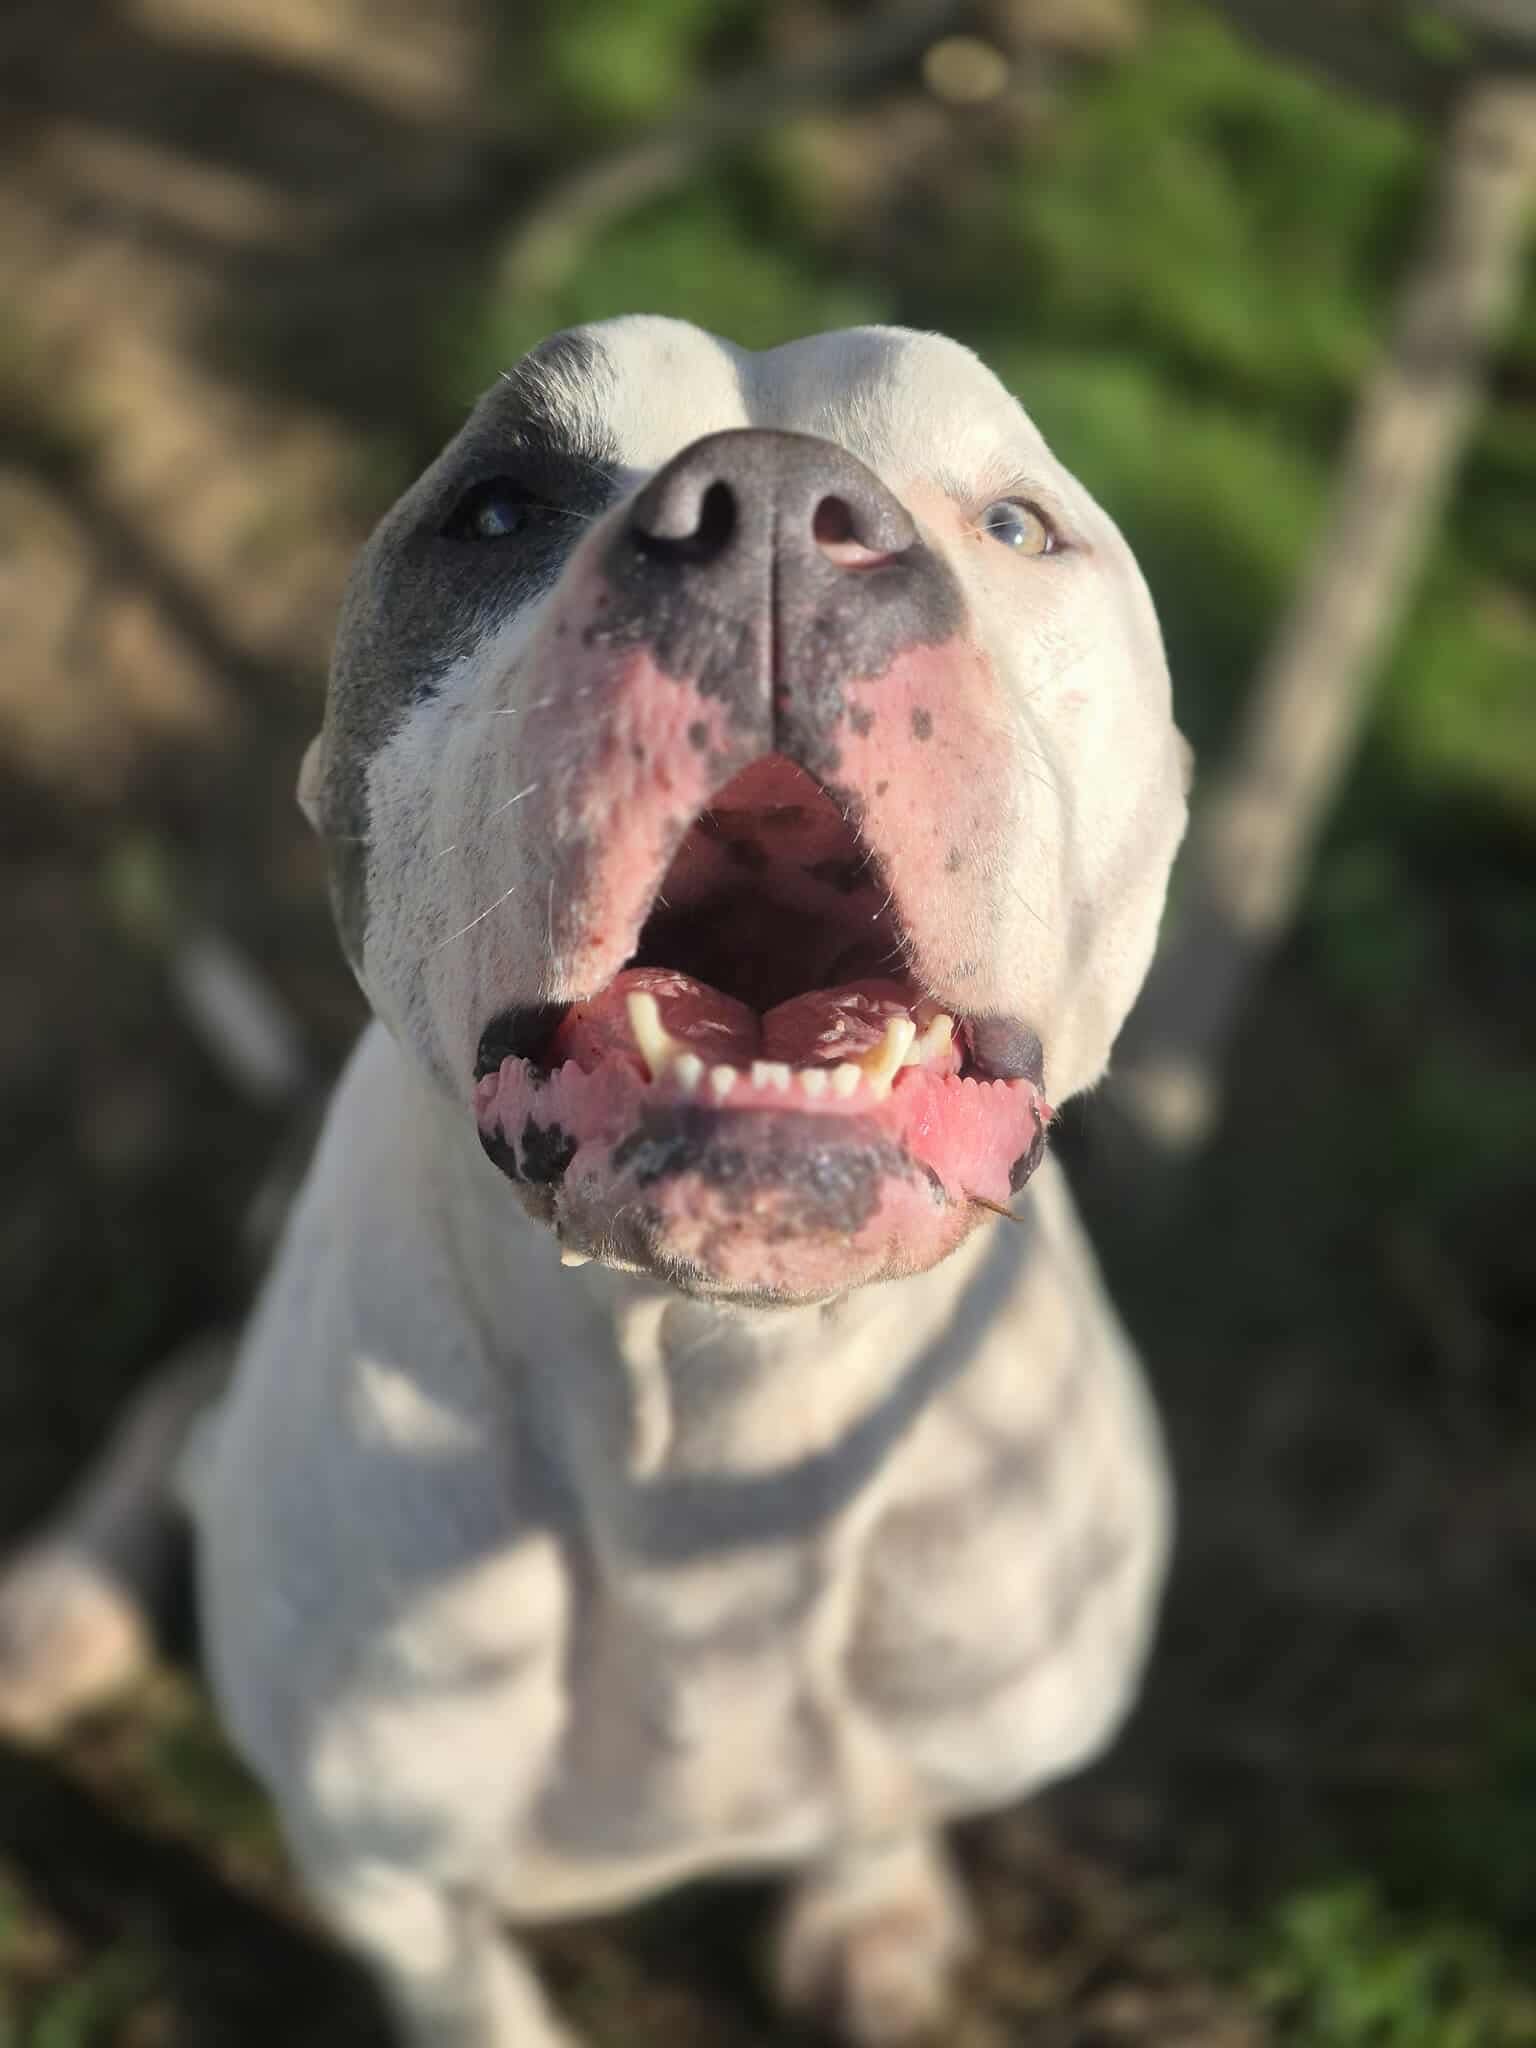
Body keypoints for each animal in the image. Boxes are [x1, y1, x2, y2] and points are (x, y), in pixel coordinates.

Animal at [0, 318, 1188, 2046]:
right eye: (496, 508)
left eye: (1019, 525)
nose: (773, 511)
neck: (714, 1409)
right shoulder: (380, 1866)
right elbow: (472, 1992)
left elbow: (885, 1800)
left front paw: (875, 1907)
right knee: (185, 1386)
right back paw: (62, 1604)